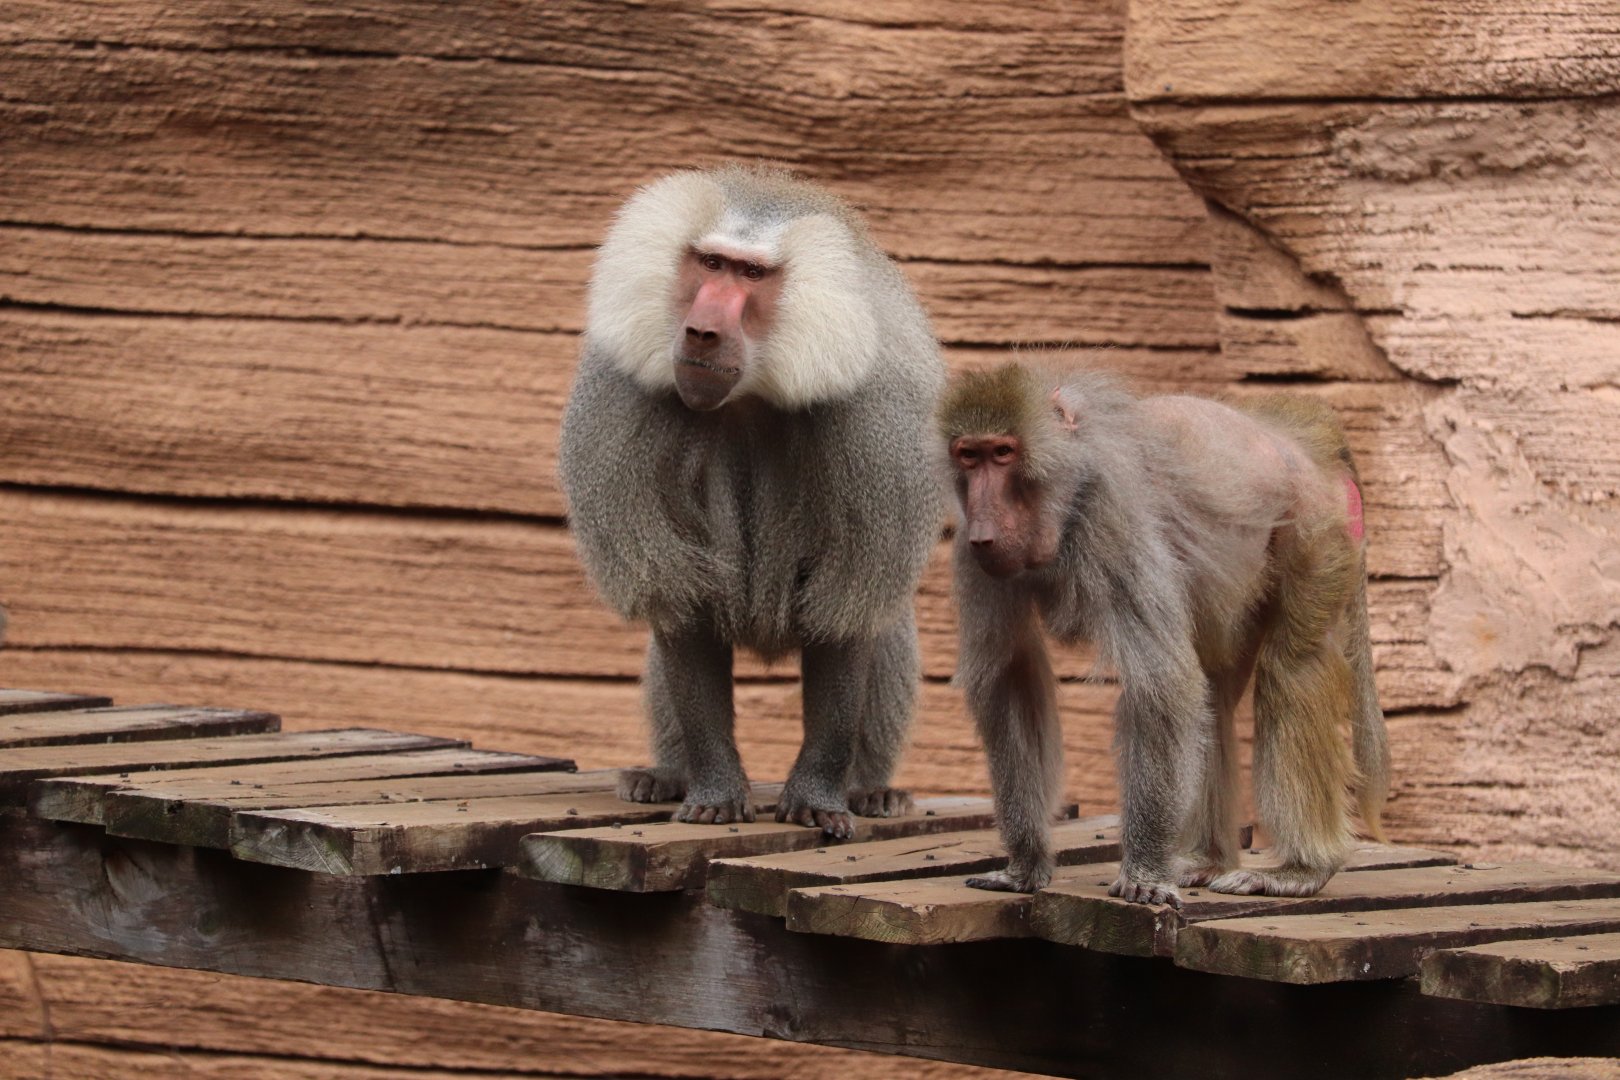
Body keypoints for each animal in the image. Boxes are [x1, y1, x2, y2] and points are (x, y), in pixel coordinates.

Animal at [559, 165, 945, 838]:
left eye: (753, 275)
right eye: (710, 263)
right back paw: (664, 777)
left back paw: (872, 790)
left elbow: (846, 619)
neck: (754, 393)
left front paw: (818, 799)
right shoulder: (625, 411)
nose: (701, 331)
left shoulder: (873, 426)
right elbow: (680, 611)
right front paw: (714, 791)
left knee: (888, 630)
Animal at [939, 361, 1389, 905]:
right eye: (969, 456)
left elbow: (1161, 687)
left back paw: (1301, 869)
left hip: (1318, 527)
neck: (1071, 483)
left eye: (1003, 453)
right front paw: (1025, 863)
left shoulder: (1114, 517)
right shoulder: (973, 554)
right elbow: (1010, 678)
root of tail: (1301, 434)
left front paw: (1145, 873)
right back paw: (1205, 859)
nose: (984, 530)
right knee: (1214, 690)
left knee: (1292, 667)